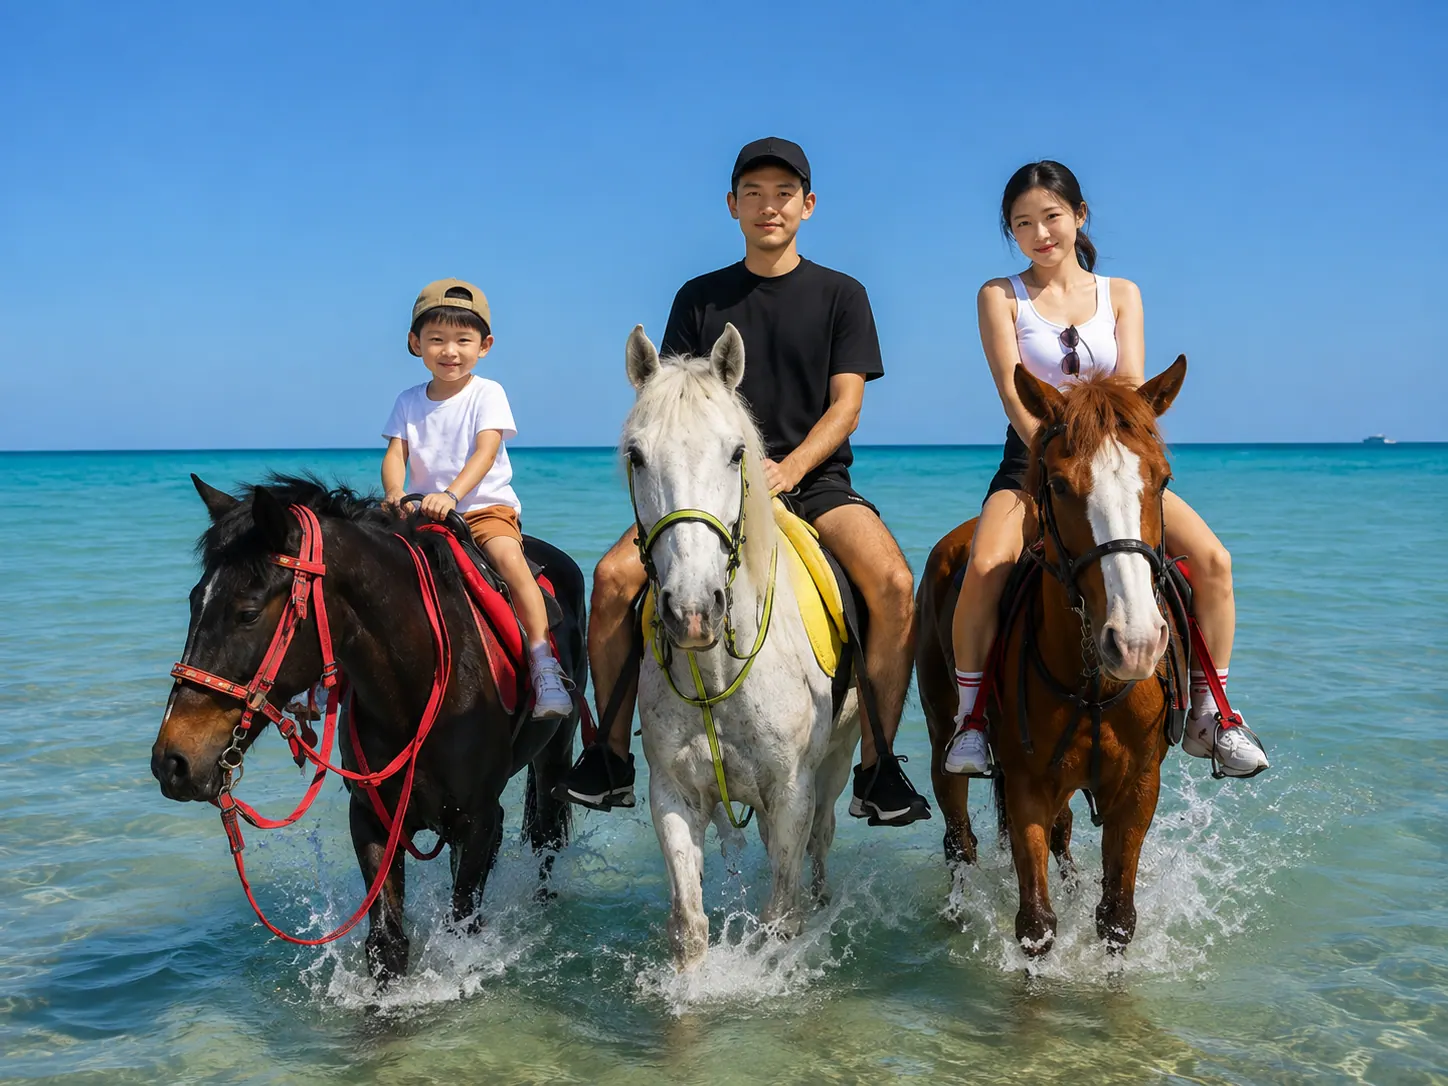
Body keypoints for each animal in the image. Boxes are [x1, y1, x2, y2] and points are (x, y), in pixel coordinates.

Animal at [151, 476, 586, 980]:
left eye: (248, 613)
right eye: (193, 601)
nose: (172, 762)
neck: (416, 686)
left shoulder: (479, 819)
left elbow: (463, 928)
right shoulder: (372, 818)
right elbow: (387, 944)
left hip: (554, 753)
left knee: (546, 837)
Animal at [622, 323, 861, 970]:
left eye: (736, 453)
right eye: (636, 455)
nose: (692, 610)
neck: (716, 668)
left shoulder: (793, 792)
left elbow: (782, 915)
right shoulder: (673, 795)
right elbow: (690, 923)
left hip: (838, 762)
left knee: (823, 841)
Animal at [916, 358, 1189, 956]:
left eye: (1162, 479)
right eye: (1061, 485)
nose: (1134, 643)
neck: (1092, 683)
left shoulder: (1138, 789)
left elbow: (1116, 916)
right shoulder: (1027, 788)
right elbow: (1036, 924)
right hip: (942, 734)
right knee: (959, 837)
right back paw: (957, 911)